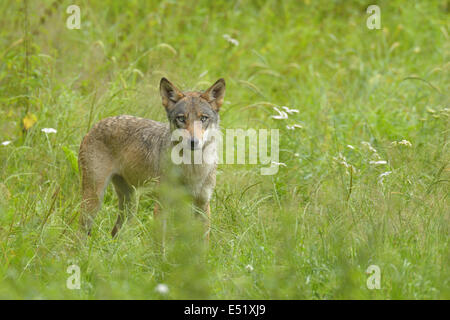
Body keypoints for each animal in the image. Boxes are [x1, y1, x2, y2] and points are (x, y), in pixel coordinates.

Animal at [78, 77, 225, 238]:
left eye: (203, 118)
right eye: (181, 119)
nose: (193, 142)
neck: (193, 168)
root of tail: (95, 125)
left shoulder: (203, 206)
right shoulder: (161, 206)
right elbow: (160, 243)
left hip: (130, 205)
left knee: (115, 232)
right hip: (95, 200)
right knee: (79, 233)